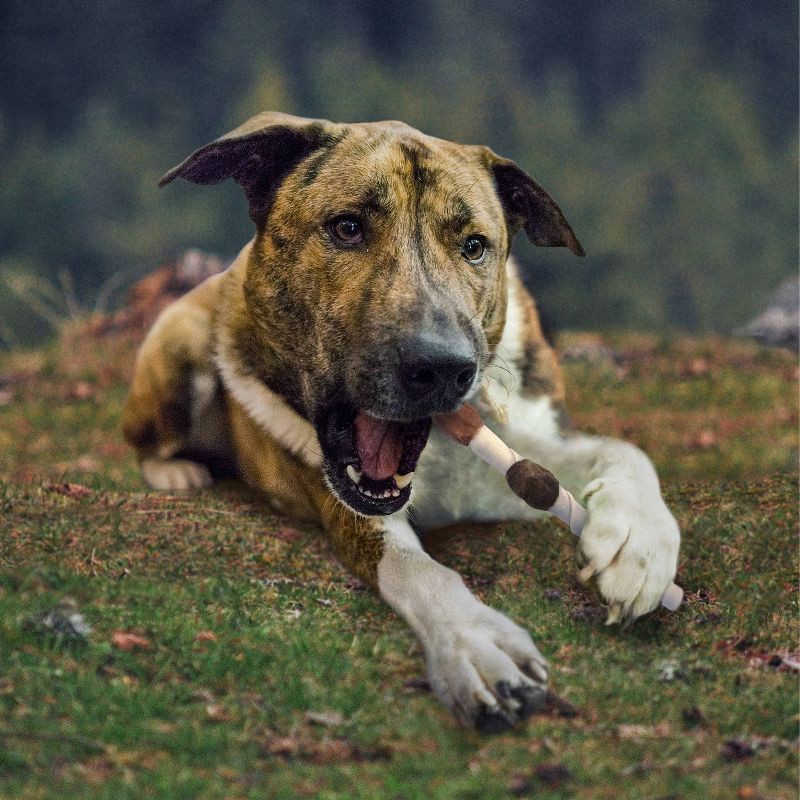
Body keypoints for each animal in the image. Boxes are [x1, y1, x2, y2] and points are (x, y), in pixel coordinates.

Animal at [122, 111, 680, 732]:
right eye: (346, 228)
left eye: (474, 247)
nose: (443, 369)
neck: (440, 450)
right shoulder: (349, 511)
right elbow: (421, 571)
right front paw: (475, 642)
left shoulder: (523, 459)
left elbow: (622, 451)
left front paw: (638, 545)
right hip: (181, 347)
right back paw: (177, 471)